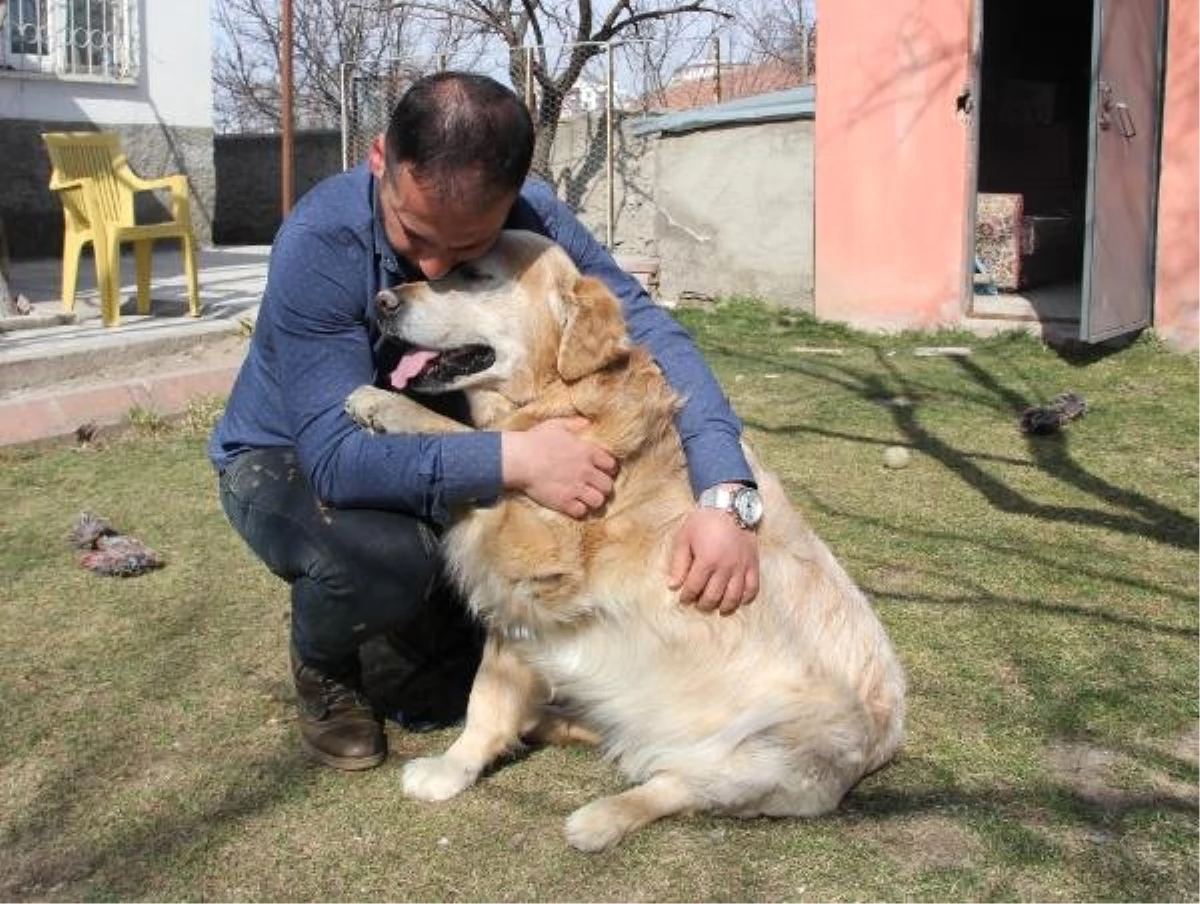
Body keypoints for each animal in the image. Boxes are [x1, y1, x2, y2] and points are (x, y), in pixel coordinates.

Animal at [343, 229, 902, 849]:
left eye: (473, 273)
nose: (383, 301)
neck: (562, 393)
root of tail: (884, 746)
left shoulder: (532, 560)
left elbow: (471, 442)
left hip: (771, 749)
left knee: (677, 784)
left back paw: (599, 818)